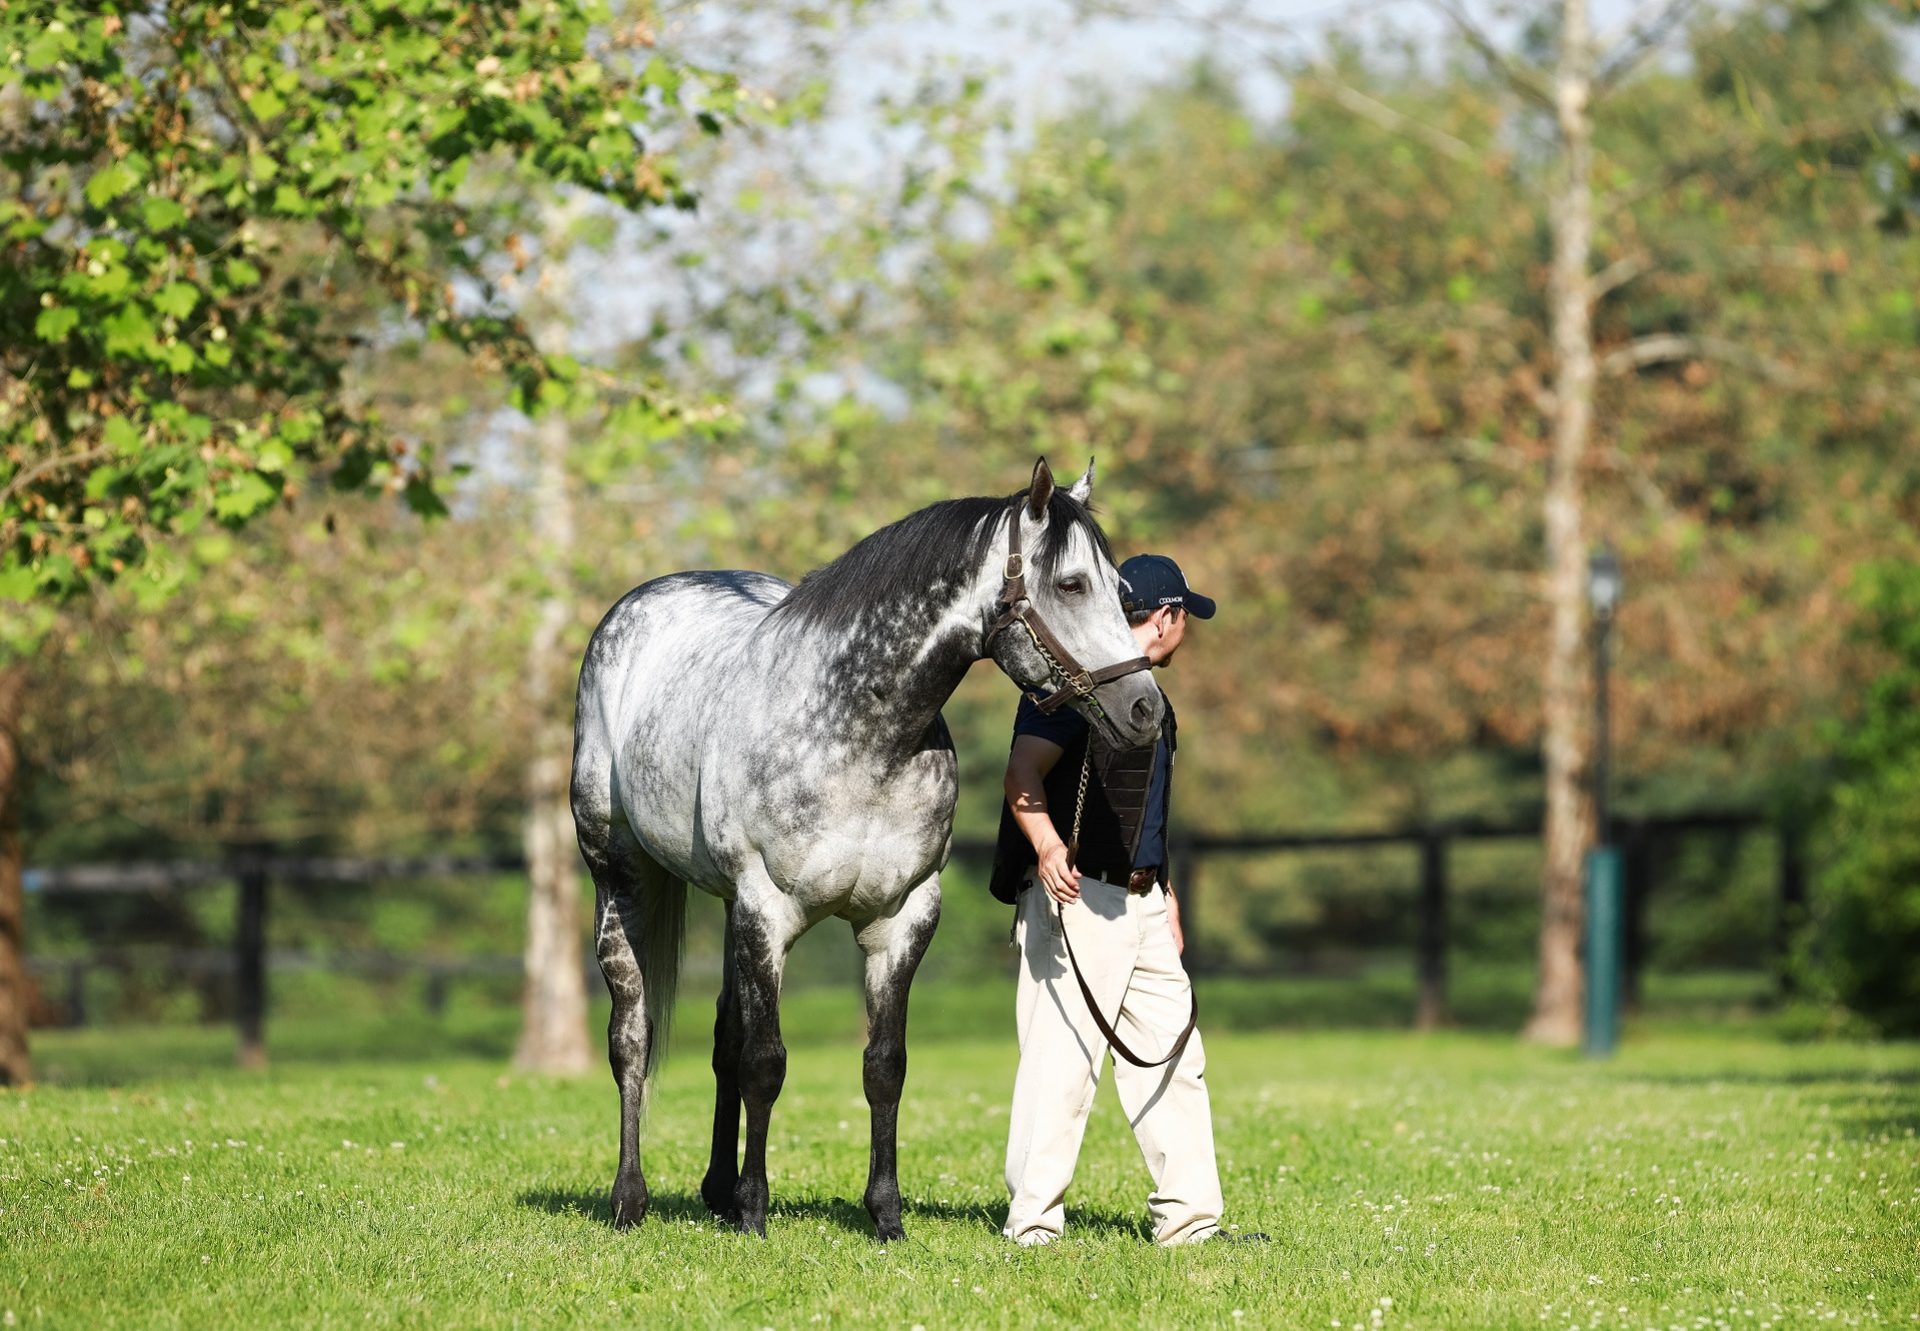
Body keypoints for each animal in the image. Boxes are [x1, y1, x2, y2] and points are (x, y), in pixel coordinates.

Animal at [564, 457, 1167, 1236]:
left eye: (1121, 591)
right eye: (1070, 585)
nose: (1145, 709)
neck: (862, 733)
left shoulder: (901, 918)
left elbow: (883, 1065)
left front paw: (884, 1215)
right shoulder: (768, 912)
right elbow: (766, 1062)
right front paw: (756, 1214)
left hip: (727, 909)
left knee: (724, 1039)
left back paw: (718, 1191)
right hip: (623, 880)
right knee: (633, 1038)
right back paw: (630, 1198)